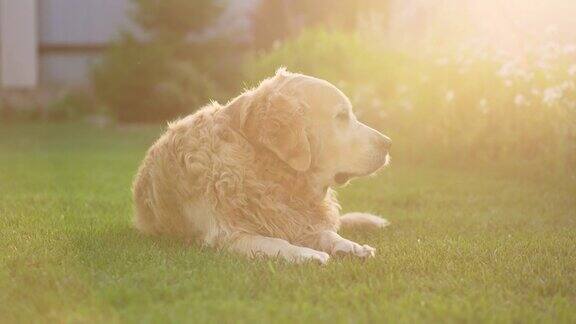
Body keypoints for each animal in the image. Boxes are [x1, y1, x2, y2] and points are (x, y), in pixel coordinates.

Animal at [133, 67, 392, 264]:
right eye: (341, 116)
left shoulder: (298, 220)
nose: (388, 143)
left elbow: (327, 233)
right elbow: (275, 241)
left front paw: (351, 246)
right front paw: (306, 254)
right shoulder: (227, 235)